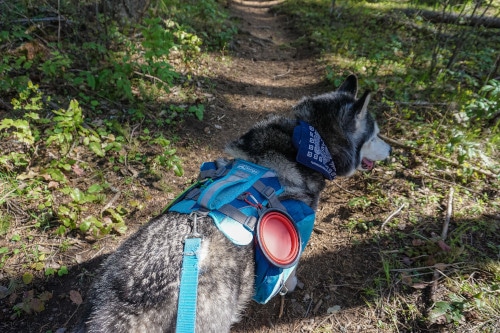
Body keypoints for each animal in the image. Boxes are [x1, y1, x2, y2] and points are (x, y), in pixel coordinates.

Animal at [76, 75, 392, 332]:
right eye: (375, 135)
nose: (391, 149)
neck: (310, 141)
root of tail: (137, 301)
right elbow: (290, 271)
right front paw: (289, 286)